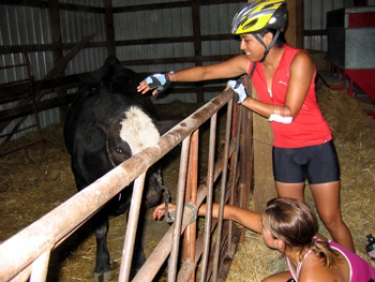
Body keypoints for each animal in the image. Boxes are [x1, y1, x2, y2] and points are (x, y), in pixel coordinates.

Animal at [64, 55, 177, 280]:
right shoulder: (84, 186)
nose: (152, 195)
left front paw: (139, 262)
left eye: (158, 145)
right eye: (117, 148)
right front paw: (102, 266)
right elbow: (100, 229)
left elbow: (134, 227)